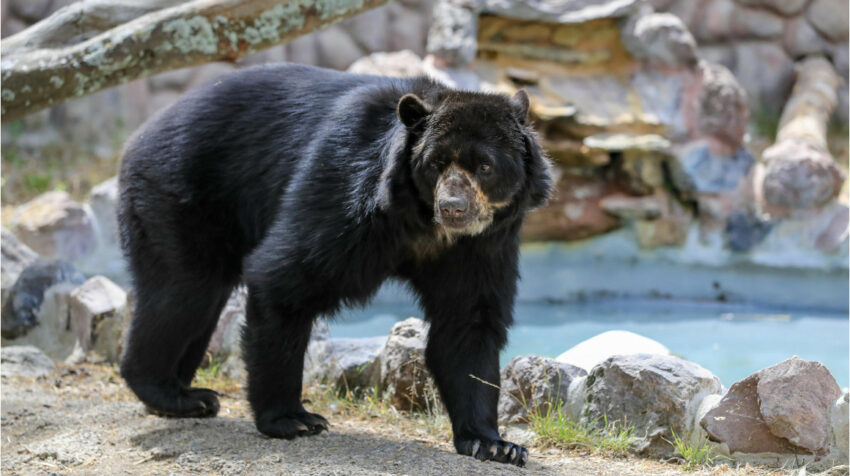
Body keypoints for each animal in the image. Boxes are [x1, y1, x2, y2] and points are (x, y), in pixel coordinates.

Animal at [117, 61, 548, 466]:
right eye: (436, 164)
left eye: (485, 166)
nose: (453, 207)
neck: (424, 226)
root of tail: (141, 133)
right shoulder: (346, 195)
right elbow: (283, 277)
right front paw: (292, 419)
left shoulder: (480, 246)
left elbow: (468, 322)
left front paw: (495, 444)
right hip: (180, 194)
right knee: (182, 294)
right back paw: (171, 392)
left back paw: (186, 392)